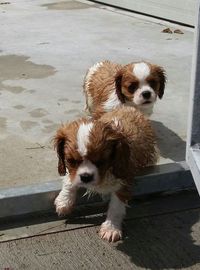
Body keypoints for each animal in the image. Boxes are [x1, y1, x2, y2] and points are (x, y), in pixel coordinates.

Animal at [53, 106, 158, 243]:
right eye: (71, 161)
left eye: (101, 162)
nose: (86, 177)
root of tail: (130, 108)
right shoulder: (73, 173)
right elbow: (70, 179)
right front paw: (64, 201)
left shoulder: (124, 178)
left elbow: (116, 206)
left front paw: (111, 228)